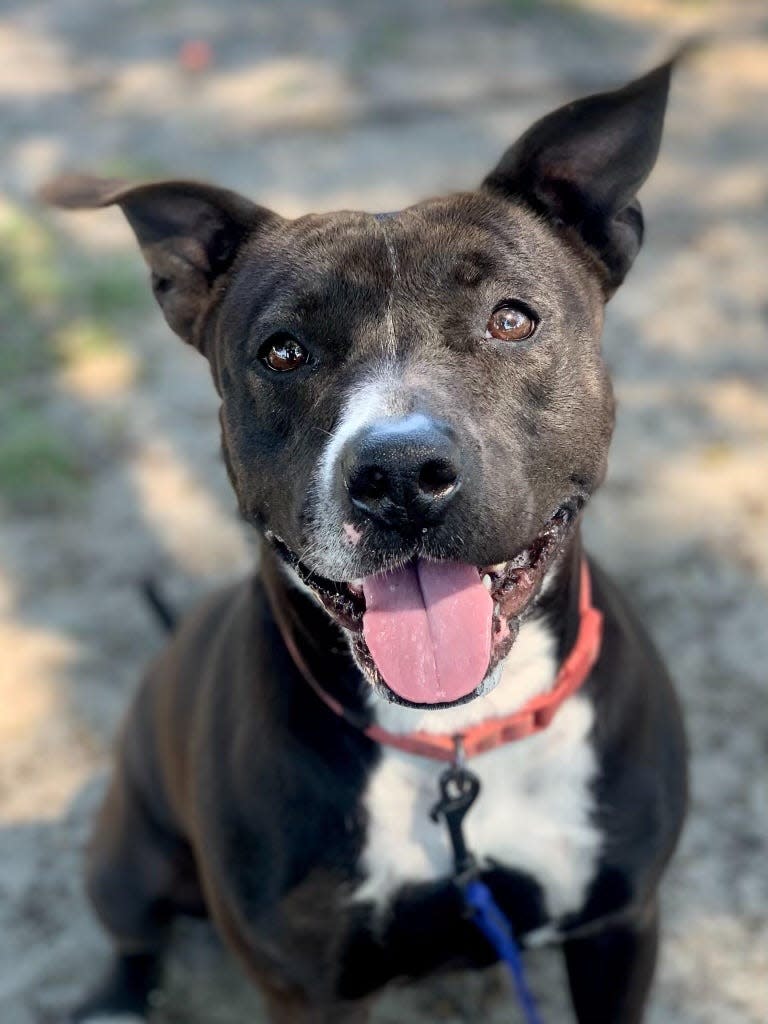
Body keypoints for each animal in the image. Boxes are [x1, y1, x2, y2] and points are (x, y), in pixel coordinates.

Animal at [41, 54, 688, 1024]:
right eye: (282, 352)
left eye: (511, 319)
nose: (401, 475)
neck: (455, 741)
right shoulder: (305, 988)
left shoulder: (620, 926)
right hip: (126, 856)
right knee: (130, 934)